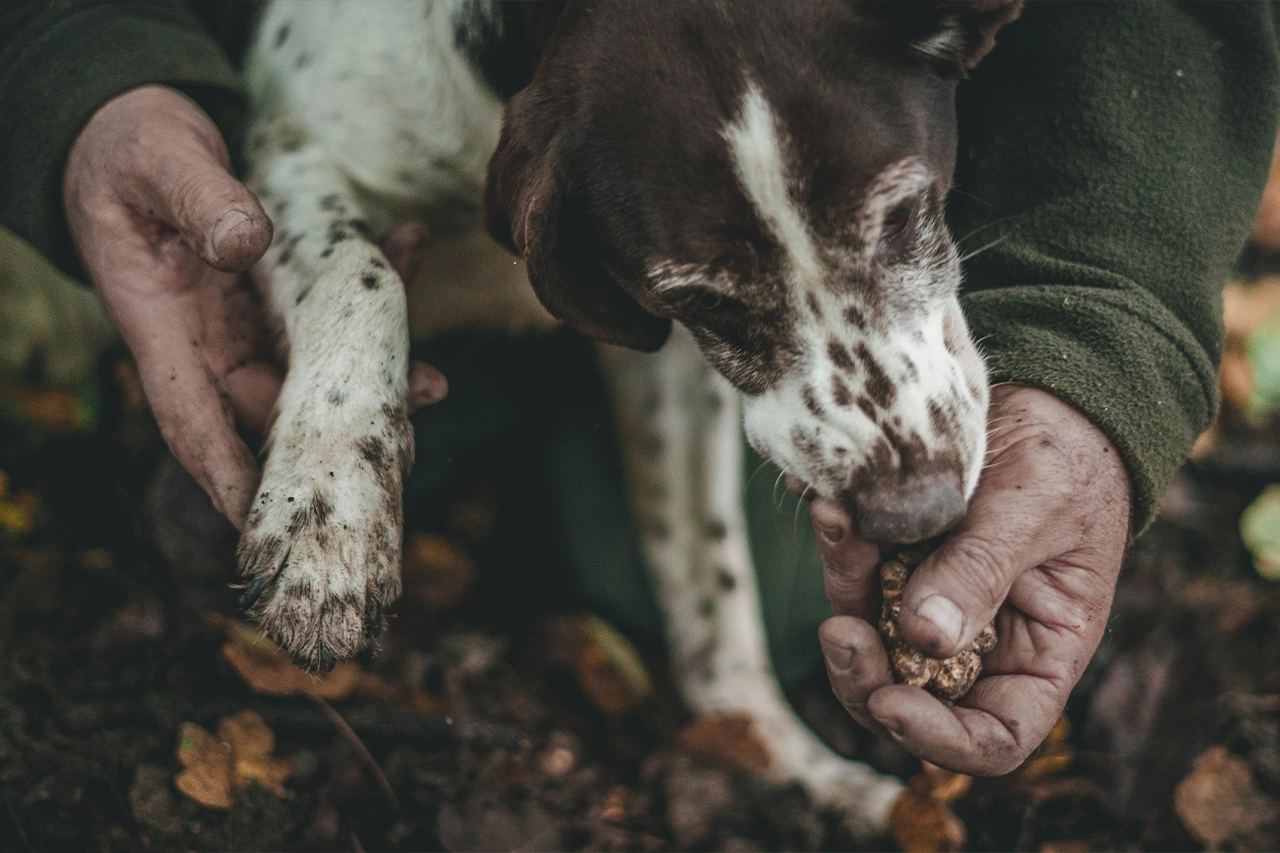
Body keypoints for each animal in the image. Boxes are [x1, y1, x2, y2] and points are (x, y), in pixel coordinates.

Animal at [238, 0, 1018, 835]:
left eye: (902, 215)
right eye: (702, 298)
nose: (917, 512)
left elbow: (710, 581)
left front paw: (780, 757)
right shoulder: (290, 154)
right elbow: (361, 272)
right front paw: (327, 514)